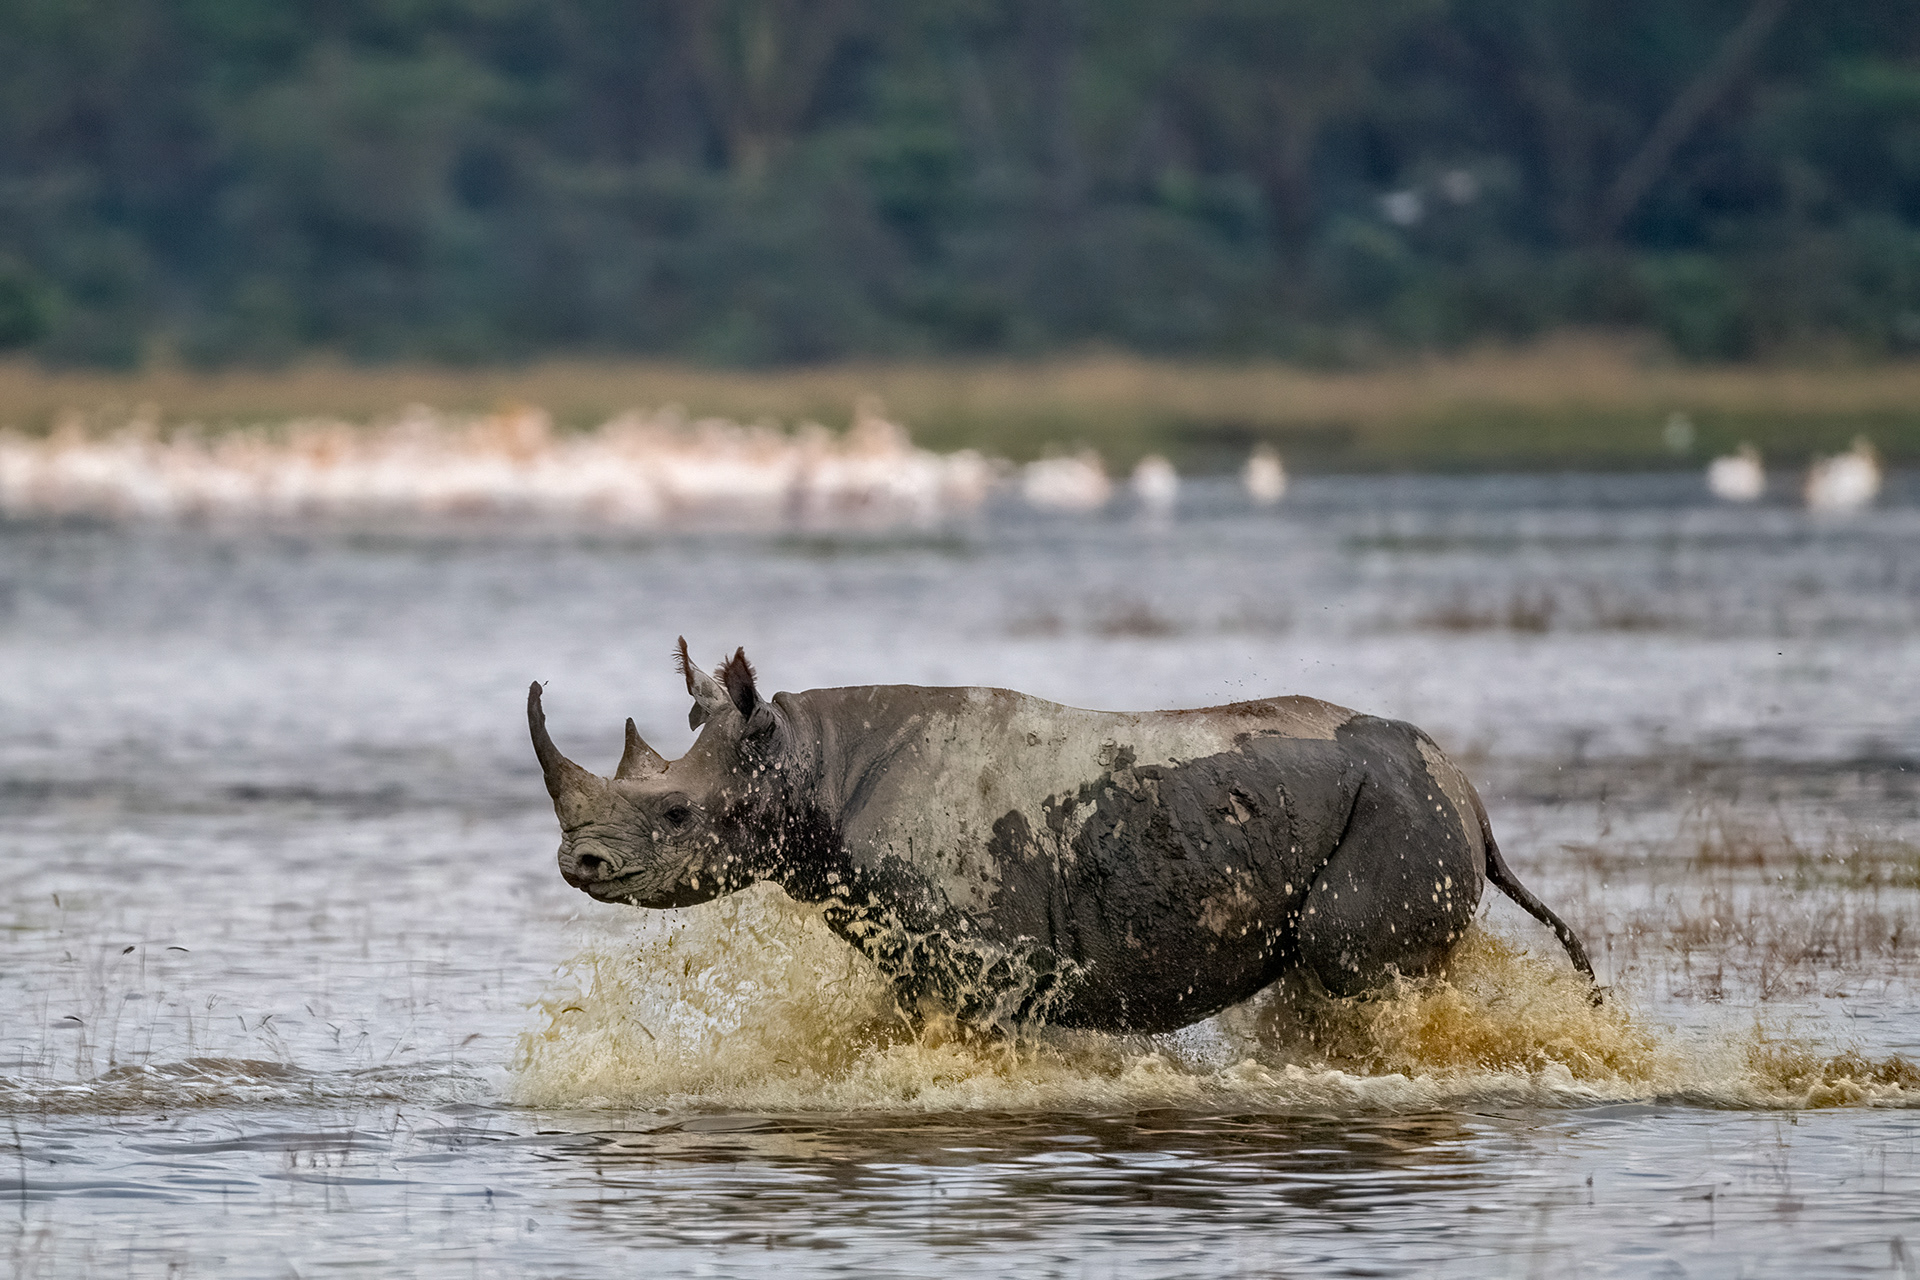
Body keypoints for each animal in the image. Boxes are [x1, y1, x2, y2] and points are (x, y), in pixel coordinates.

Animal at [530, 640, 1593, 1034]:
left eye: (675, 814)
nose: (579, 865)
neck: (808, 761)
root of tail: (1474, 799)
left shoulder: (986, 965)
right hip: (1396, 802)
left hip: (1403, 809)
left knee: (1352, 968)